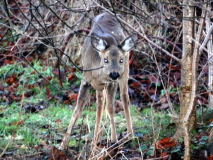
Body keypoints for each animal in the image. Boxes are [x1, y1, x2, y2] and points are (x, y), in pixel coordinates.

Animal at [59, 12, 137, 150]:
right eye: (105, 59)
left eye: (120, 60)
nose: (114, 73)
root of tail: (108, 13)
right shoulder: (86, 81)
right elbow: (77, 111)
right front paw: (63, 145)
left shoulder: (111, 83)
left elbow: (109, 108)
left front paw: (113, 140)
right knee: (102, 105)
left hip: (125, 72)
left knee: (124, 98)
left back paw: (129, 136)